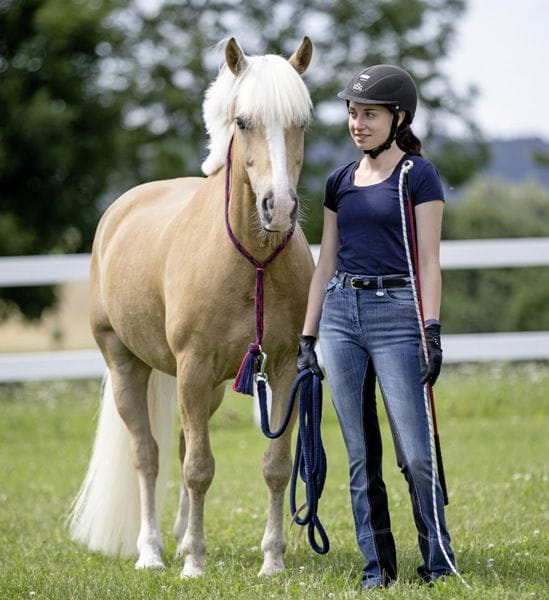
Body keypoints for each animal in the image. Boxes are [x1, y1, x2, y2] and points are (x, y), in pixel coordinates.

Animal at [68, 36, 314, 576]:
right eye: (243, 122)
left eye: (302, 122)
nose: (280, 208)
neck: (251, 261)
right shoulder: (194, 367)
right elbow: (199, 468)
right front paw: (195, 565)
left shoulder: (284, 367)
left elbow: (276, 466)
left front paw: (272, 562)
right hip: (127, 365)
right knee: (150, 455)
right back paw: (153, 552)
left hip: (209, 386)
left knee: (181, 445)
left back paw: (179, 540)